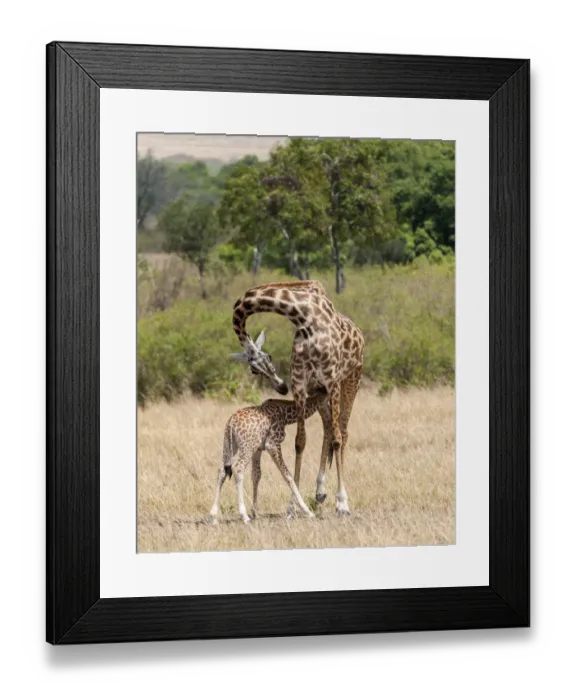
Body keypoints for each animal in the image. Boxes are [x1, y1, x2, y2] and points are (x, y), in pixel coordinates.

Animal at [209, 387, 328, 524]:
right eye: (326, 403)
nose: (328, 416)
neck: (286, 415)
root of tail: (231, 423)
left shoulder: (258, 449)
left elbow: (256, 475)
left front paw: (255, 512)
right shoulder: (272, 445)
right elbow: (287, 476)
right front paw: (307, 511)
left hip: (230, 446)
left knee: (222, 471)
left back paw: (213, 516)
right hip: (246, 447)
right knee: (238, 469)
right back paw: (244, 516)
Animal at [230, 280, 364, 516]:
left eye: (268, 358)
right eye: (254, 370)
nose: (282, 387)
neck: (304, 317)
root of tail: (360, 335)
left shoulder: (332, 380)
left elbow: (338, 439)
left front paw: (342, 503)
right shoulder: (302, 385)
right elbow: (300, 442)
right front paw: (292, 506)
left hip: (351, 381)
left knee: (342, 432)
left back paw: (339, 500)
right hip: (319, 393)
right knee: (328, 428)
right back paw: (320, 493)